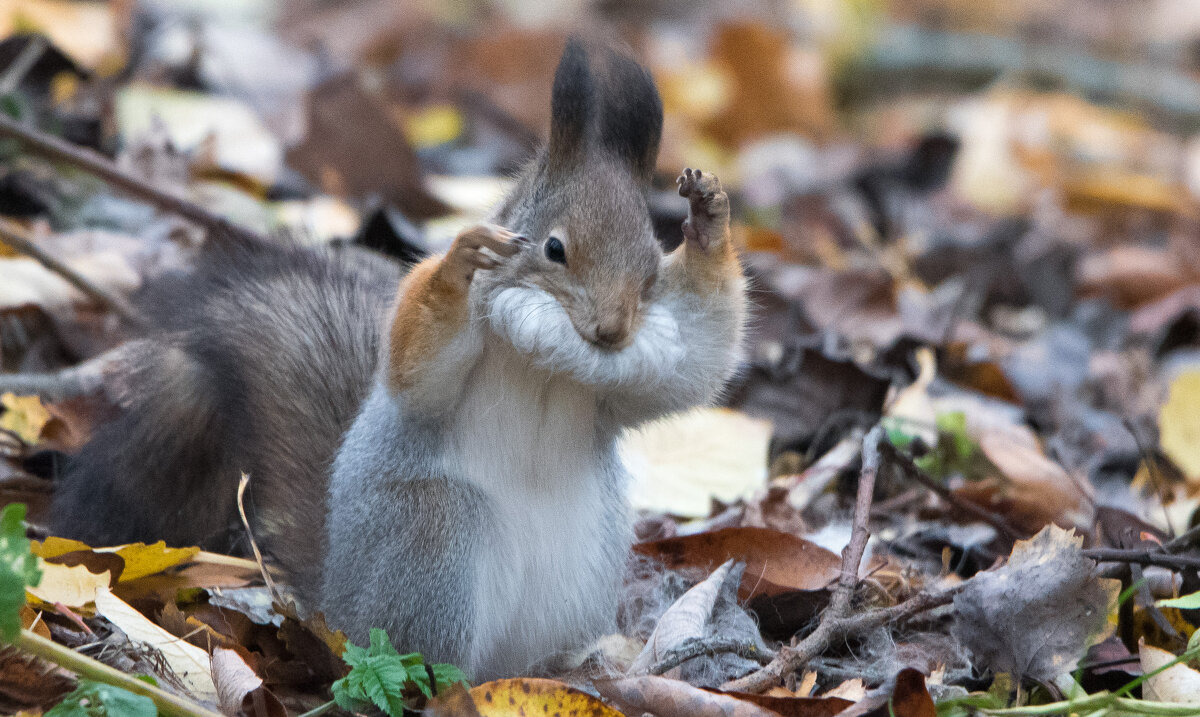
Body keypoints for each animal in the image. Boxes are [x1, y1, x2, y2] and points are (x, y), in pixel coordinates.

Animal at [51, 39, 744, 681]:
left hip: (588, 560)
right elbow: (417, 368)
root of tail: (337, 609)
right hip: (430, 536)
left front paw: (710, 223)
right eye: (554, 249)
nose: (610, 332)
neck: (543, 368)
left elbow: (694, 365)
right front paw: (459, 264)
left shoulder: (619, 389)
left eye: (650, 269)